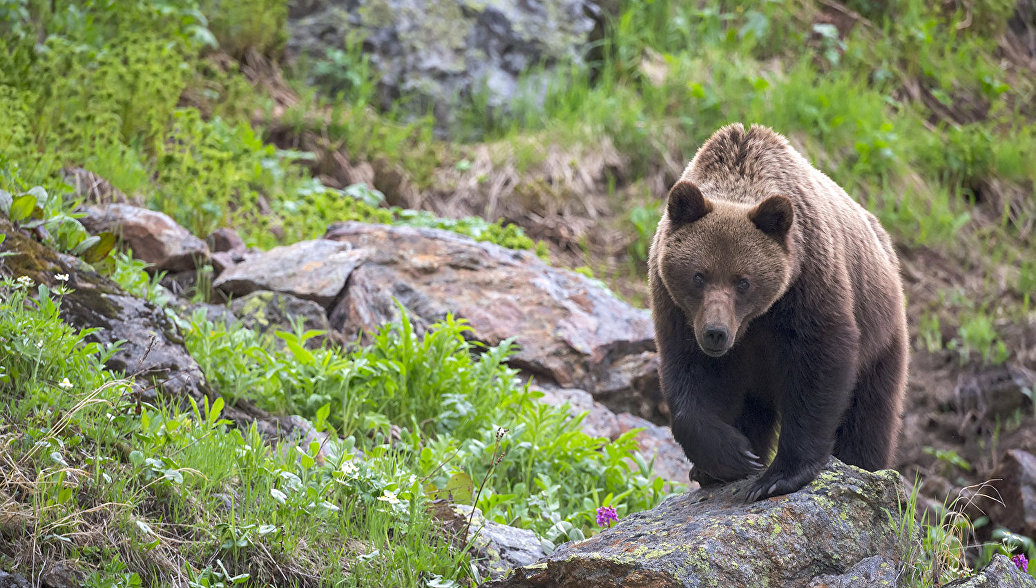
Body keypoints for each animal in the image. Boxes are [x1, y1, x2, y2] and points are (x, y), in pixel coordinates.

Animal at [654, 124, 907, 501]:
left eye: (743, 281)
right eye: (698, 275)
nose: (716, 333)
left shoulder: (808, 285)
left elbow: (818, 367)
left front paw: (777, 476)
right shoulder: (678, 310)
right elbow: (688, 377)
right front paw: (732, 457)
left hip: (882, 336)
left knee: (869, 415)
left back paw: (867, 466)